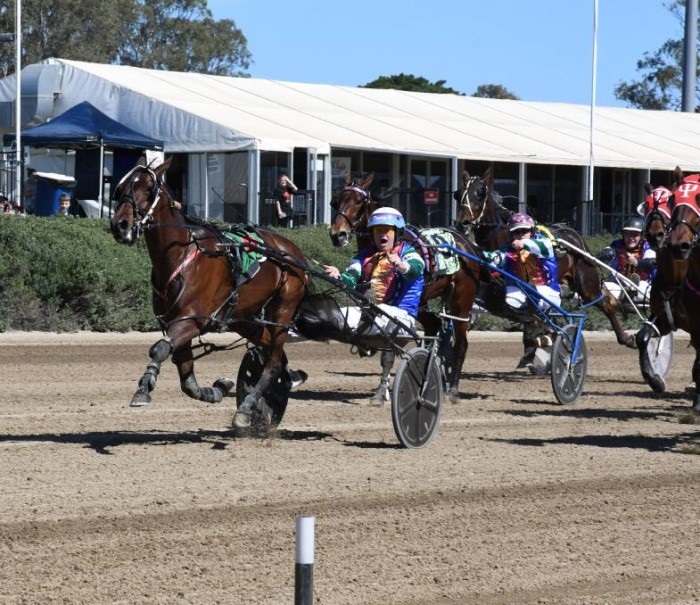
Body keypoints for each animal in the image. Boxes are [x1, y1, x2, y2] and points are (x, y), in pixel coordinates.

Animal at [110, 158, 308, 428]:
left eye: (149, 188)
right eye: (120, 188)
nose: (120, 225)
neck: (180, 257)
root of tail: (295, 252)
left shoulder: (192, 320)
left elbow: (159, 349)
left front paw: (144, 388)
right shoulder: (172, 322)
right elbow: (186, 380)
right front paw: (217, 389)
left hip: (283, 310)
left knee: (273, 364)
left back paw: (246, 409)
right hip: (245, 319)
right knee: (271, 351)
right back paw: (286, 379)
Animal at [326, 172, 482, 404]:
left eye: (359, 201)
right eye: (335, 201)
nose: (338, 235)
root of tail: (468, 245)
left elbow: (389, 349)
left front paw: (380, 393)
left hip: (461, 300)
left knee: (461, 343)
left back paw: (452, 389)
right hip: (425, 301)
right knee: (434, 326)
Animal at [452, 170, 636, 350]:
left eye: (480, 192)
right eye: (458, 194)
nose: (463, 223)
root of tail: (576, 237)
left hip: (587, 285)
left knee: (606, 304)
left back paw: (625, 338)